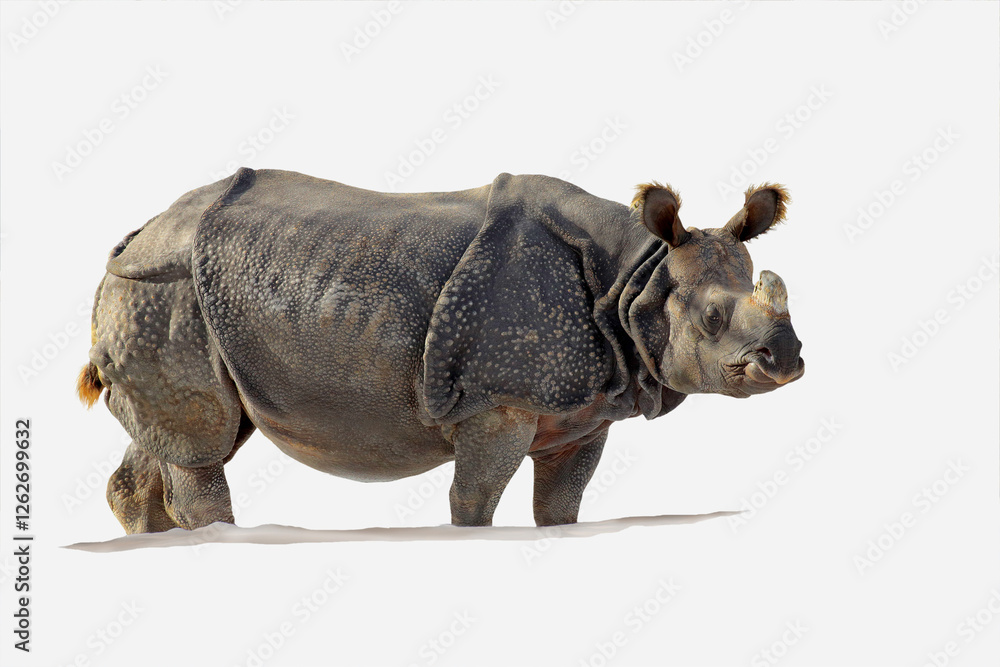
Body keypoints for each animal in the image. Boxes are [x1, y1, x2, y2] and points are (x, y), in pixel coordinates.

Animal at [78, 168, 804, 534]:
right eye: (712, 318)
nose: (788, 360)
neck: (638, 276)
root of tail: (137, 233)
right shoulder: (497, 399)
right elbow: (475, 496)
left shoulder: (583, 410)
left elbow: (561, 502)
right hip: (165, 288)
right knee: (203, 441)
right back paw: (219, 538)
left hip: (172, 293)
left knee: (192, 433)